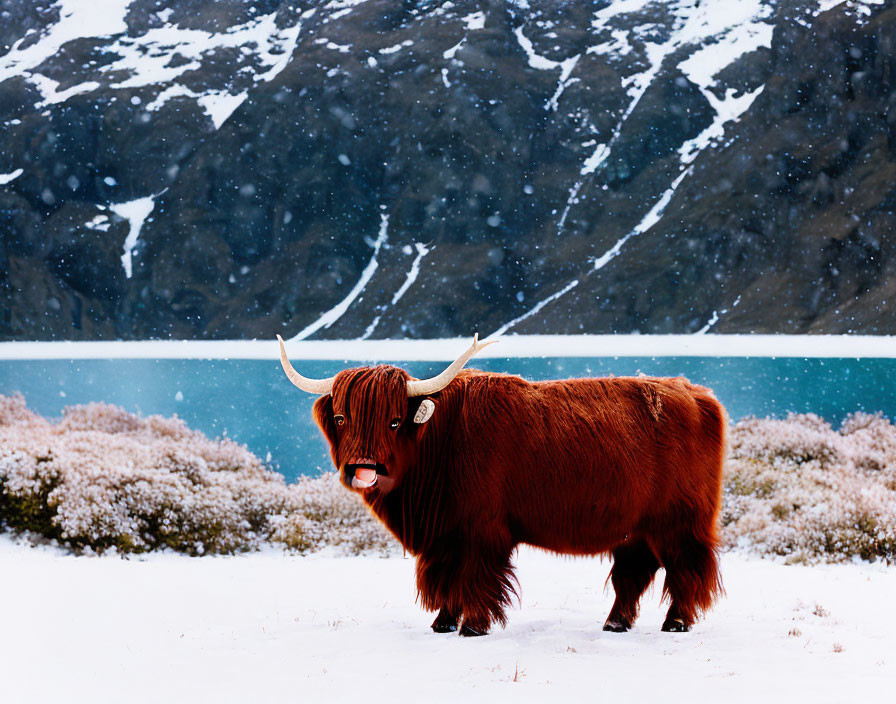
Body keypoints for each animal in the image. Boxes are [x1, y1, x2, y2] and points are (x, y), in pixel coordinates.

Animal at [276, 332, 724, 636]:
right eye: (341, 418)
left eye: (394, 421)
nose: (365, 467)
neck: (441, 438)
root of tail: (697, 393)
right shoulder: (444, 536)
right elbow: (446, 580)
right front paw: (443, 623)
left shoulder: (482, 530)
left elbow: (476, 578)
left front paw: (472, 626)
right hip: (637, 528)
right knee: (634, 571)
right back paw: (615, 624)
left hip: (679, 521)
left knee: (685, 567)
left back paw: (676, 622)